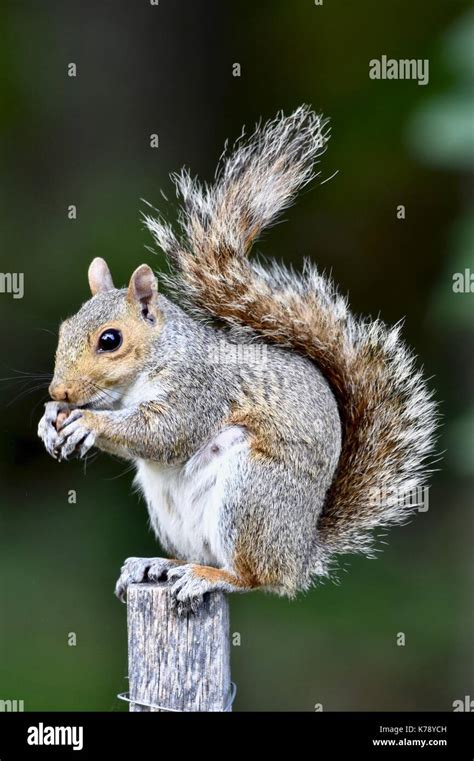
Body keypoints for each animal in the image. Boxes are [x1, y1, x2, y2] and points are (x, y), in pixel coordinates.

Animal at [36, 107, 436, 612]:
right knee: (201, 553)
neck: (153, 363)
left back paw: (208, 576)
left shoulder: (198, 389)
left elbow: (165, 432)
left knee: (253, 576)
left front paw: (88, 423)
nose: (59, 390)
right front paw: (51, 419)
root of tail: (300, 554)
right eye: (64, 329)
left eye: (110, 340)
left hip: (251, 492)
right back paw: (158, 564)